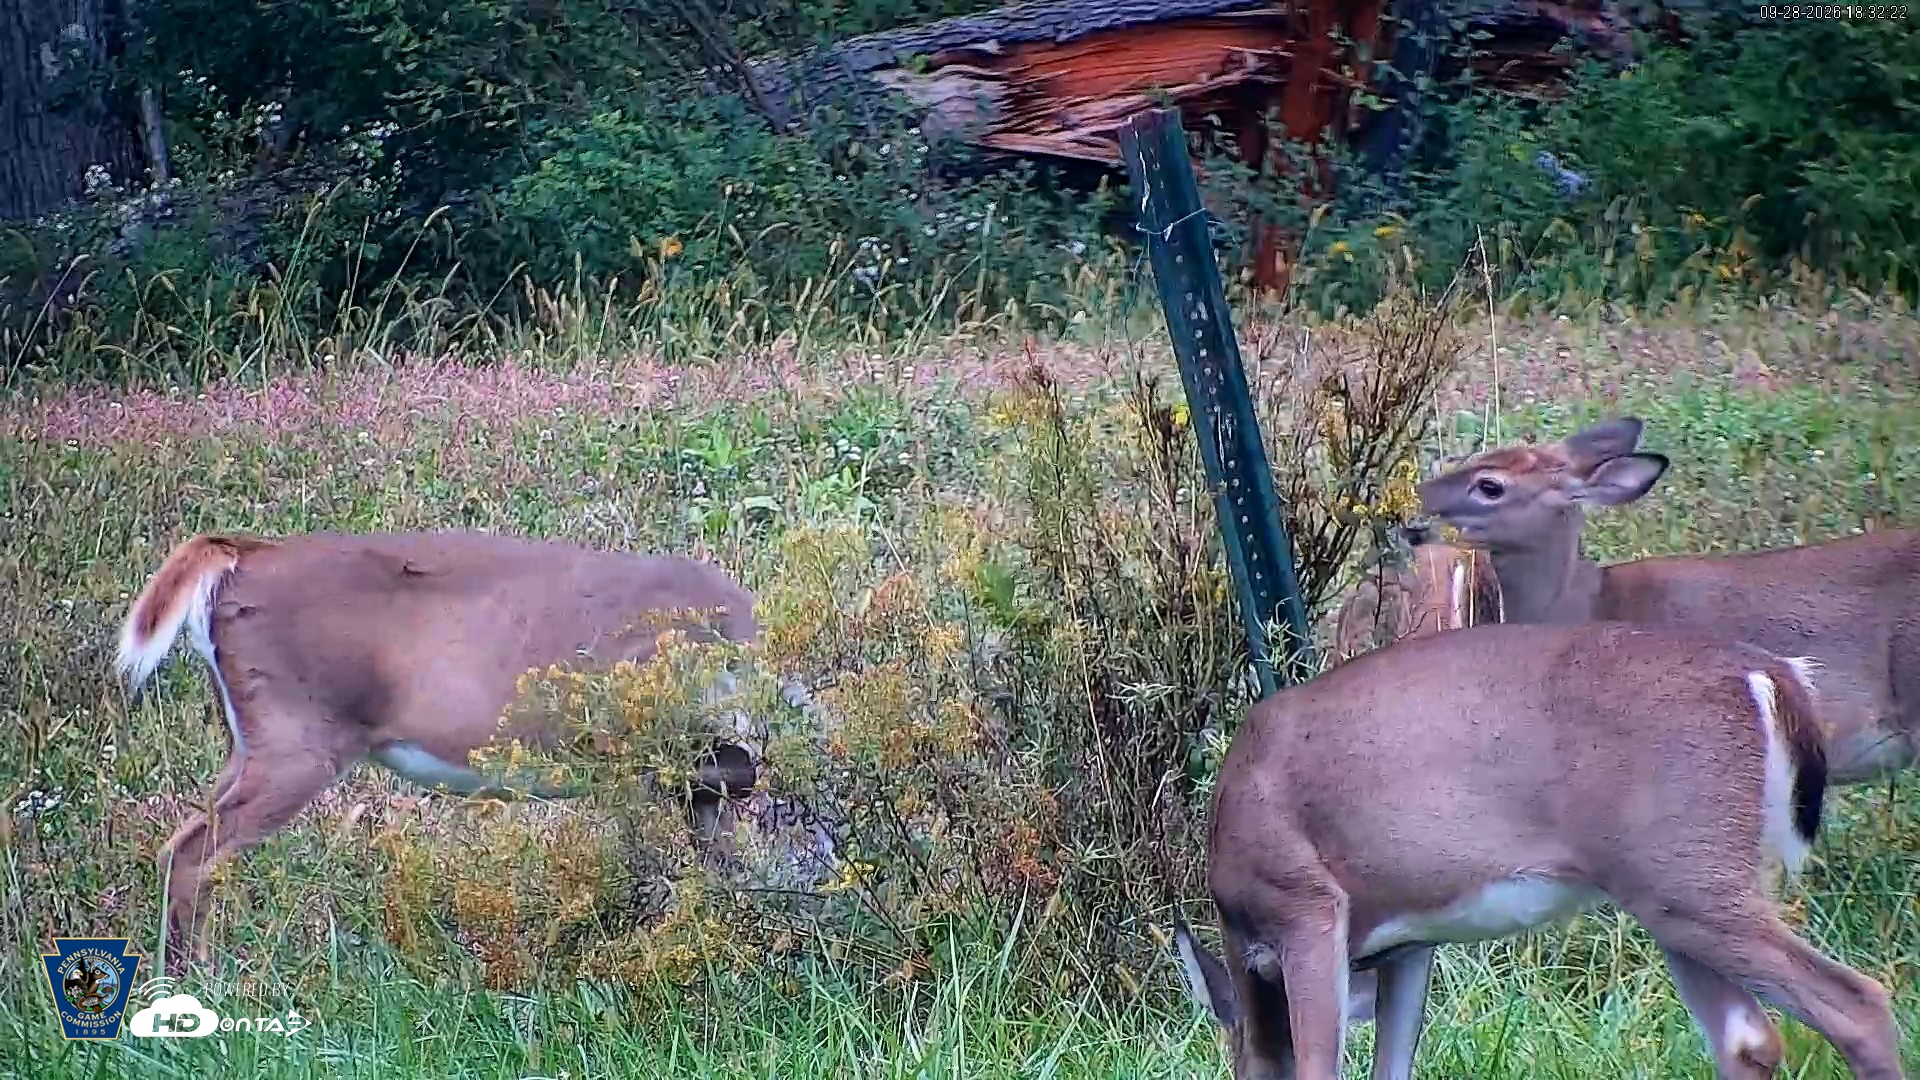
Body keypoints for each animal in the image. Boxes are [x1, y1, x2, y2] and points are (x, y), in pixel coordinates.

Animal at [117, 530, 770, 972]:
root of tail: (245, 554)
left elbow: (723, 856)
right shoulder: (641, 744)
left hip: (250, 739)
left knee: (187, 837)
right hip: (300, 737)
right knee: (190, 853)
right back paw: (201, 983)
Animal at [1173, 621, 1906, 1080]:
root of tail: (1772, 674)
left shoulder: (1306, 905)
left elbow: (1317, 1066)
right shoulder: (1408, 944)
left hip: (1687, 877)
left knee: (1859, 1003)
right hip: (1677, 890)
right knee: (1748, 1040)